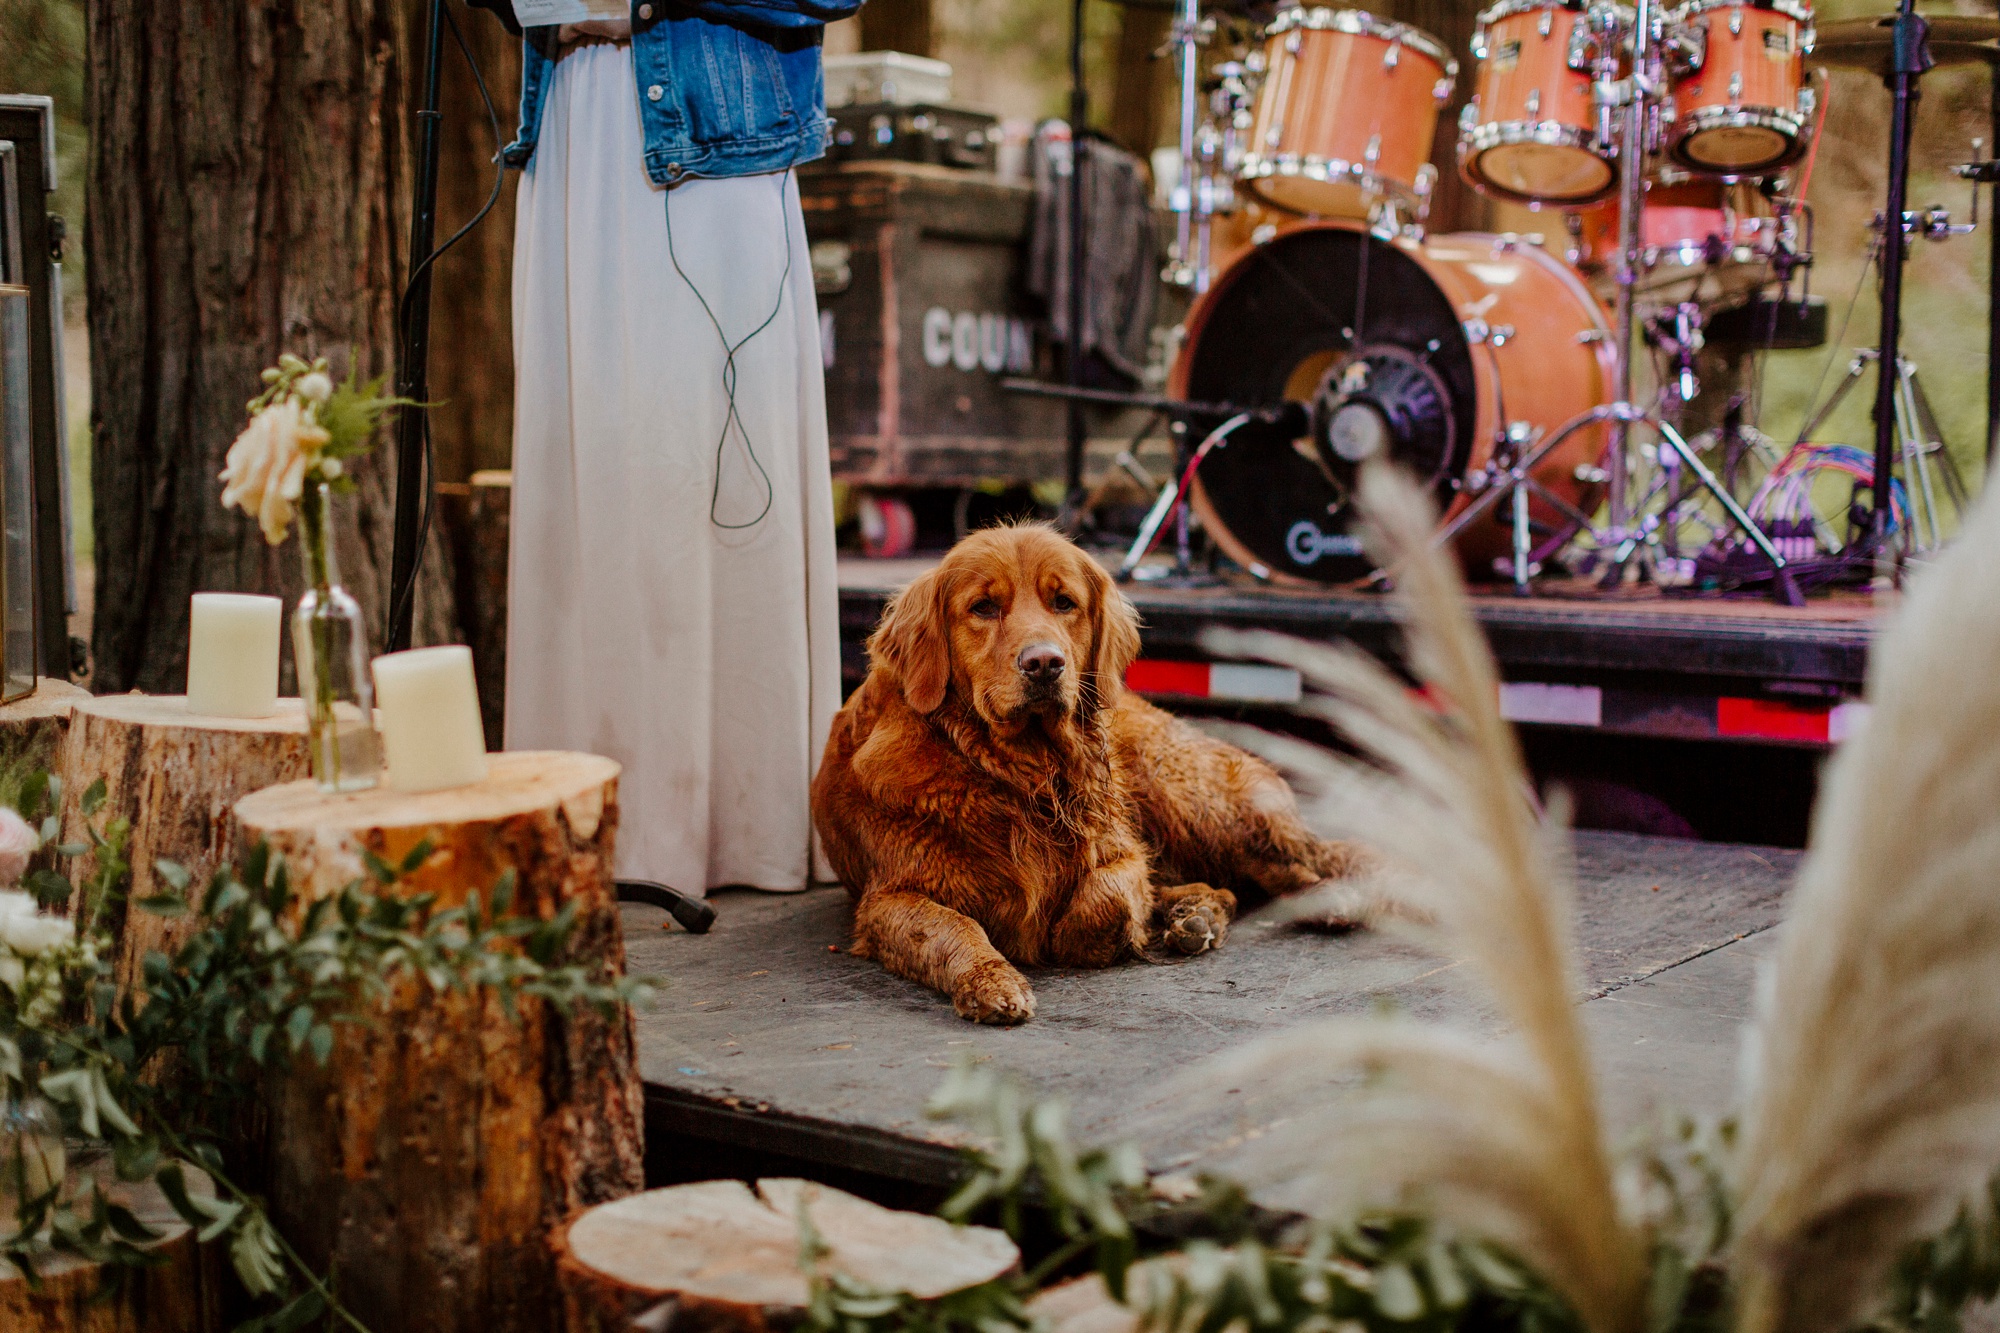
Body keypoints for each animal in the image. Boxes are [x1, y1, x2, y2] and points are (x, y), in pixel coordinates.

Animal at [812, 520, 1376, 1016]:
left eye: (1064, 602)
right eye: (983, 607)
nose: (1044, 663)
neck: (1019, 772)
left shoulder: (1121, 848)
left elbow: (1107, 896)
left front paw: (1078, 935)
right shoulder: (888, 897)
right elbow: (953, 927)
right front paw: (992, 981)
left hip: (1186, 795)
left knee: (1287, 860)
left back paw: (1320, 902)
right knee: (1226, 884)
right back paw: (1195, 913)